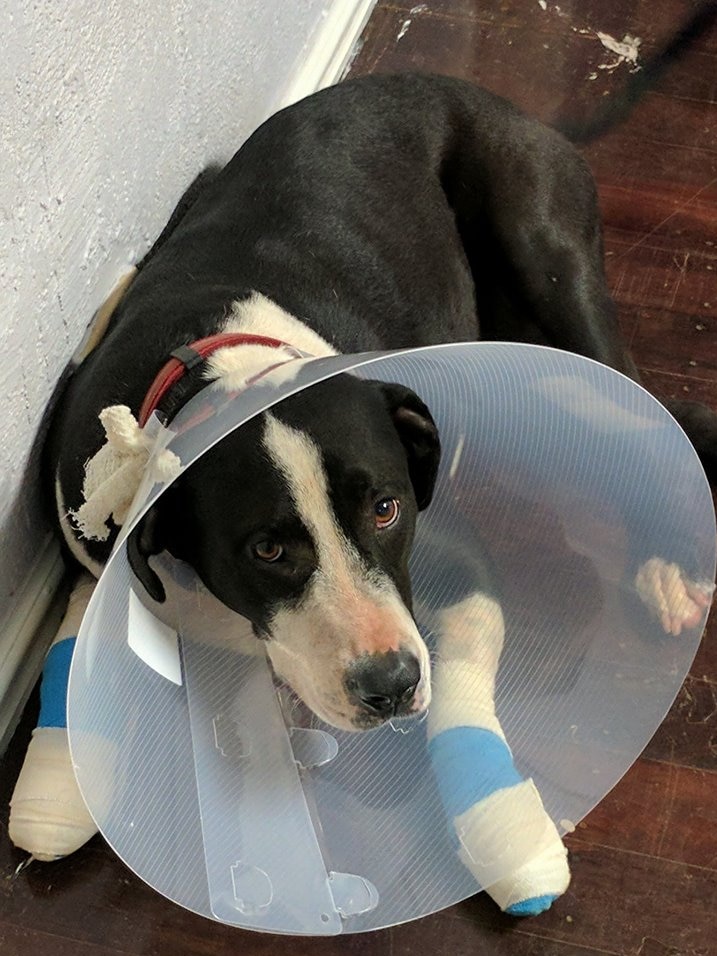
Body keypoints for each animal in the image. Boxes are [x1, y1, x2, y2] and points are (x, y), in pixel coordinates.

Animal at [47, 73, 712, 732]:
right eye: (266, 550)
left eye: (387, 509)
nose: (390, 686)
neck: (218, 370)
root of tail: (477, 93)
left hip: (545, 255)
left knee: (641, 399)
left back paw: (668, 566)